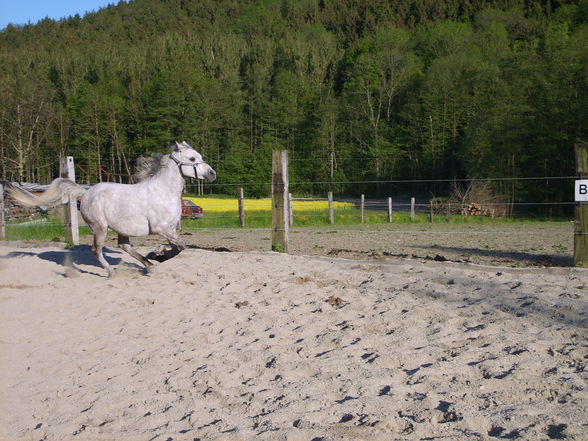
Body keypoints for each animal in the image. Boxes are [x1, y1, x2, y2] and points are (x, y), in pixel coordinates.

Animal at [8, 141, 216, 276]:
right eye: (192, 158)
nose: (212, 174)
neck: (163, 191)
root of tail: (86, 193)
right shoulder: (161, 229)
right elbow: (181, 246)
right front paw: (157, 256)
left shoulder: (170, 229)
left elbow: (177, 247)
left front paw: (156, 254)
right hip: (99, 227)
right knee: (96, 250)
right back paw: (111, 271)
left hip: (121, 228)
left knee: (124, 246)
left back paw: (148, 265)